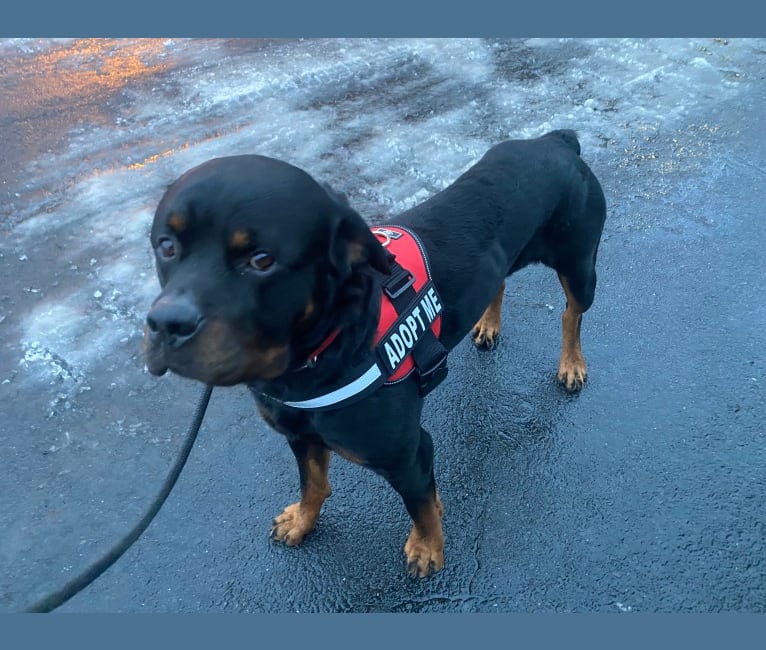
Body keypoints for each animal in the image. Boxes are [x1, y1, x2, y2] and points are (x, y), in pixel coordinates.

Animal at [144, 129, 608, 576]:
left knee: (572, 314)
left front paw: (428, 548)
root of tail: (555, 141)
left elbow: (421, 508)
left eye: (261, 260)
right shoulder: (300, 434)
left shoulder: (408, 452)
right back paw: (489, 324)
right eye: (166, 246)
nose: (166, 325)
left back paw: (571, 364)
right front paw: (302, 521)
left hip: (579, 263)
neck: (320, 355)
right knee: (500, 282)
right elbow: (313, 483)